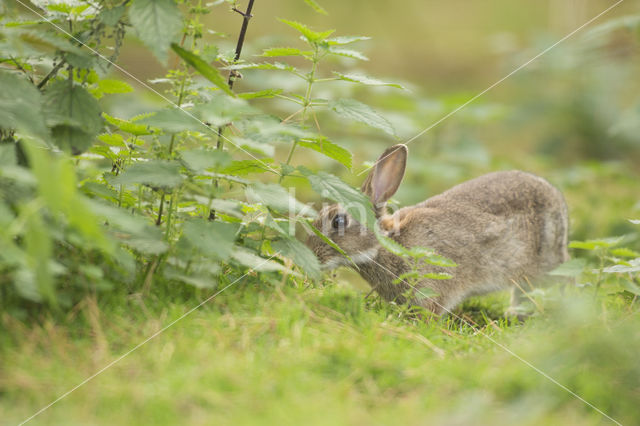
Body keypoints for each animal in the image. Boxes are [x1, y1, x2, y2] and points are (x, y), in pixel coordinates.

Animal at [306, 145, 568, 318]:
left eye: (339, 221)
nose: (312, 256)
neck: (387, 243)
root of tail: (557, 199)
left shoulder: (431, 283)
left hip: (546, 264)